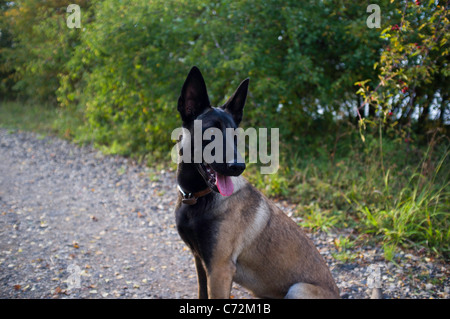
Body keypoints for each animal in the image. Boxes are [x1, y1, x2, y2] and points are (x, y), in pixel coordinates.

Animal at [174, 66, 340, 298]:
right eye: (211, 132)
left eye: (235, 135)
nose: (238, 166)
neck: (196, 197)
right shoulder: (201, 262)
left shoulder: (220, 270)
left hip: (298, 288)